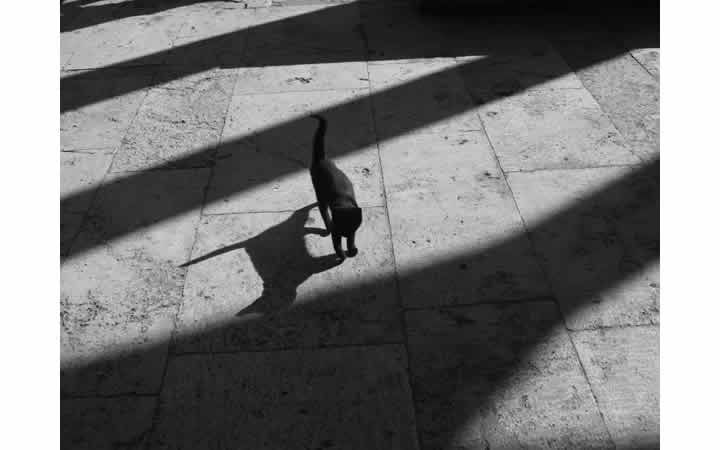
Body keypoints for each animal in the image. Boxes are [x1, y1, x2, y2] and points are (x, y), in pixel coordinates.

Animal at [308, 114, 360, 260]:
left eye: (351, 227)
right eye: (342, 227)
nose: (345, 234)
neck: (345, 202)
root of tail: (322, 159)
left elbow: (351, 240)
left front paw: (351, 249)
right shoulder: (337, 231)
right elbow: (337, 244)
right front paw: (342, 256)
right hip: (319, 191)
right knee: (323, 211)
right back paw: (328, 227)